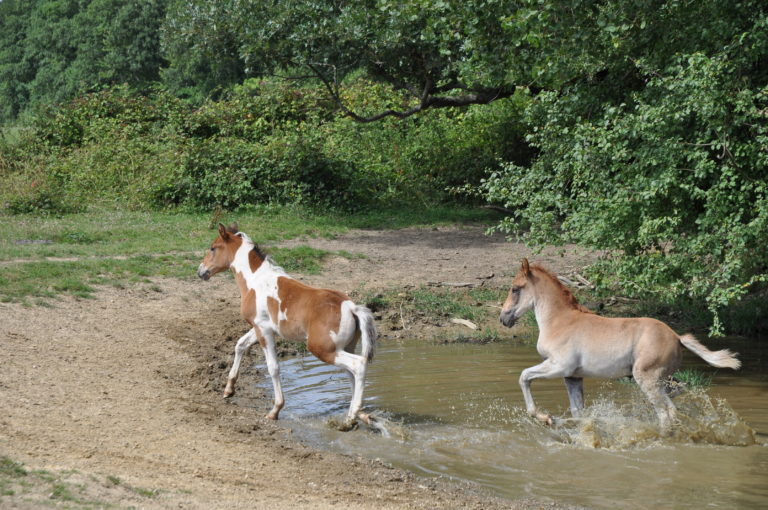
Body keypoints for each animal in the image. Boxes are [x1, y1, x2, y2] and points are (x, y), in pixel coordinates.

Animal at [198, 225, 378, 428]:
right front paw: (229, 389)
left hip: (323, 349)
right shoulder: (259, 327)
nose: (201, 271)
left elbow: (273, 367)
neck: (255, 280)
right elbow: (240, 345)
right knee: (351, 372)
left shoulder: (264, 330)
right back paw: (360, 414)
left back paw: (350, 418)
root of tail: (350, 307)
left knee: (358, 365)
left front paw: (275, 410)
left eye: (213, 248)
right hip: (345, 347)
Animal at [500, 258, 740, 430]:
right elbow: (578, 411)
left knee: (666, 413)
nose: (503, 318)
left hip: (646, 378)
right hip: (663, 378)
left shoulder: (558, 366)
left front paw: (544, 417)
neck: (560, 321)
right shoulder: (572, 376)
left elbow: (524, 377)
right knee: (677, 397)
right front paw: (559, 422)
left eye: (515, 288)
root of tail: (676, 336)